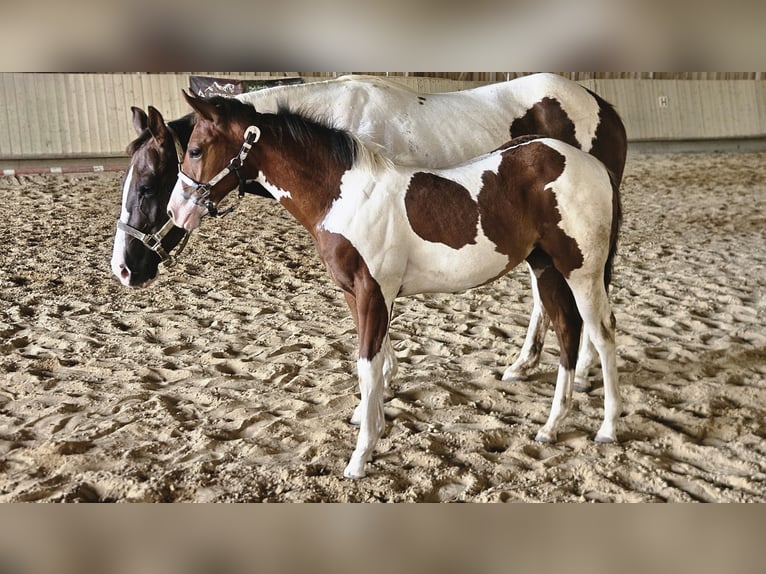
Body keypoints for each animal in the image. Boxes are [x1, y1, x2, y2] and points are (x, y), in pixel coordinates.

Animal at [166, 93, 622, 479]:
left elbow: (368, 364)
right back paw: (550, 426)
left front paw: (360, 456)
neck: (345, 196)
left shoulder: (372, 291)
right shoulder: (358, 294)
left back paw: (607, 427)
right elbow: (378, 359)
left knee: (602, 336)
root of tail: (592, 165)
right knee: (567, 332)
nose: (175, 212)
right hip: (546, 268)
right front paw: (371, 420)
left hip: (581, 270)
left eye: (195, 150)